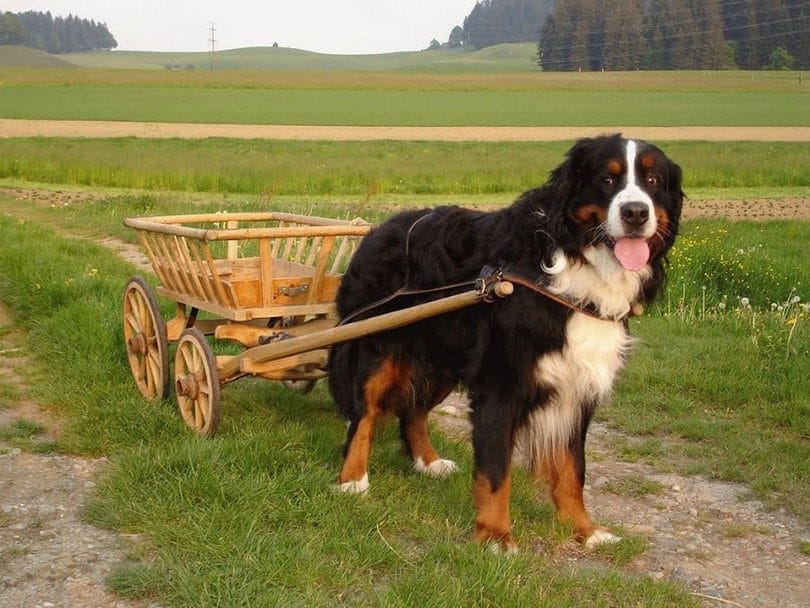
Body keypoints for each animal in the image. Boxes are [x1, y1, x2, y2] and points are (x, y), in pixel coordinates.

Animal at [326, 134, 680, 552]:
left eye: (653, 181)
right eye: (606, 180)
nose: (636, 213)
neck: (571, 270)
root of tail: (375, 231)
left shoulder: (576, 387)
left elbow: (572, 468)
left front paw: (584, 529)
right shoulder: (502, 385)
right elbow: (496, 470)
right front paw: (495, 534)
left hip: (444, 359)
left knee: (413, 410)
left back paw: (429, 461)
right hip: (378, 350)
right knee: (364, 413)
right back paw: (352, 479)